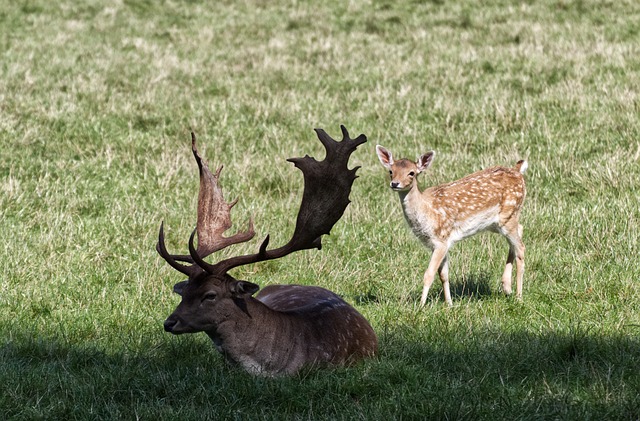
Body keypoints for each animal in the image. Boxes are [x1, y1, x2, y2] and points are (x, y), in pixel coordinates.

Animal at [372, 146, 528, 306]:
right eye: (391, 171)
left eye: (412, 173)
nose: (395, 183)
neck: (427, 212)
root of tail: (518, 171)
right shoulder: (442, 243)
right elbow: (443, 275)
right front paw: (449, 304)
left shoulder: (440, 240)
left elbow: (429, 274)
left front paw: (420, 306)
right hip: (498, 222)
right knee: (520, 230)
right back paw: (507, 287)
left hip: (509, 214)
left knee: (521, 248)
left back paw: (519, 296)